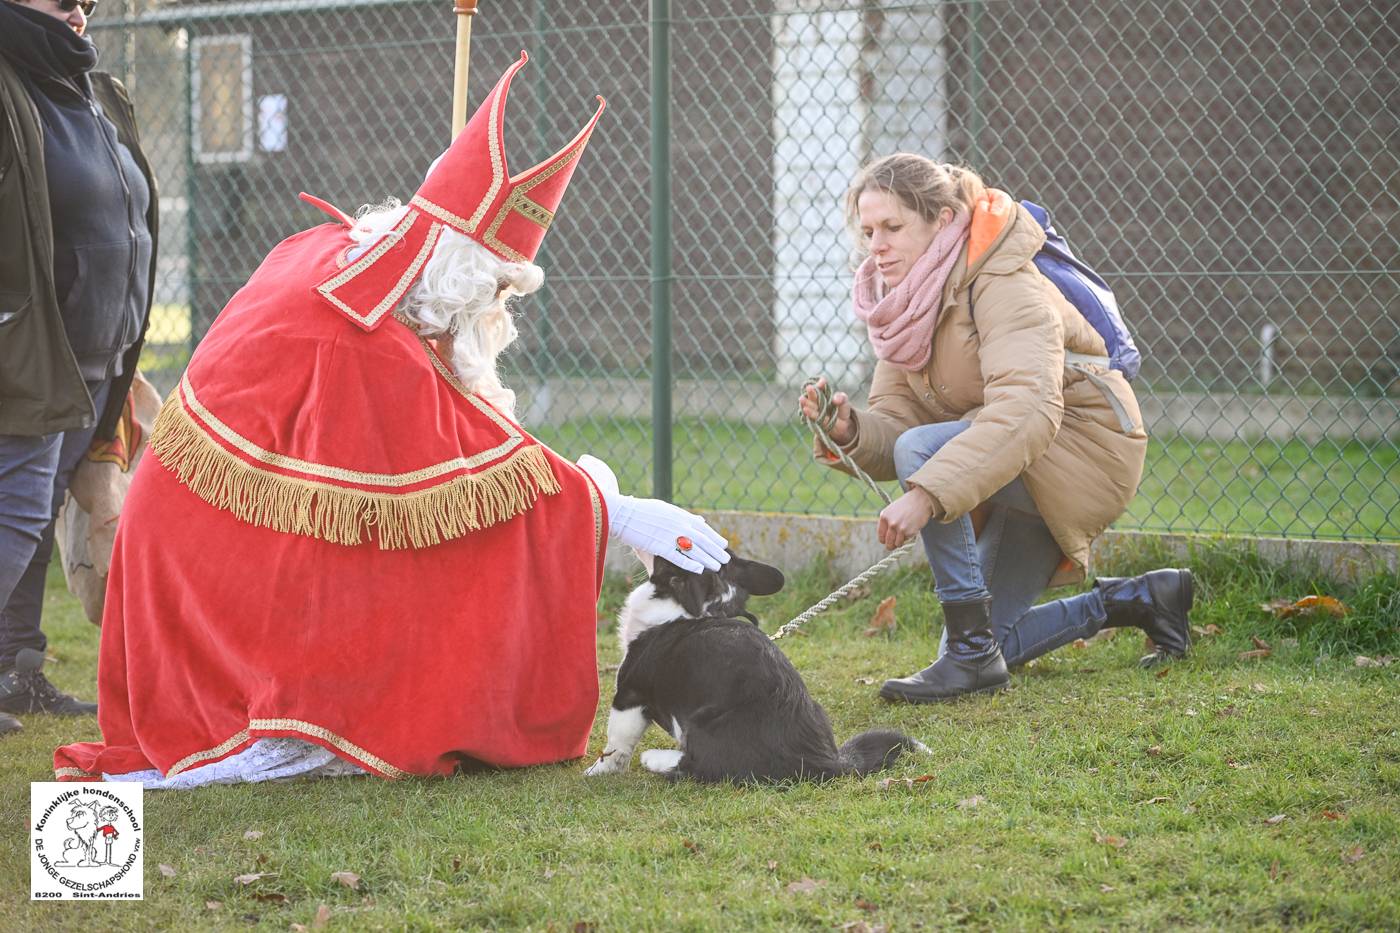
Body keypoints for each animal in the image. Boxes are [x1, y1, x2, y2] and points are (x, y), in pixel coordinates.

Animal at [585, 549, 924, 778]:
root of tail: (824, 761)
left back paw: (655, 759)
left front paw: (598, 770)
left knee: (699, 764)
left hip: (702, 723)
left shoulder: (629, 694)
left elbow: (616, 742)